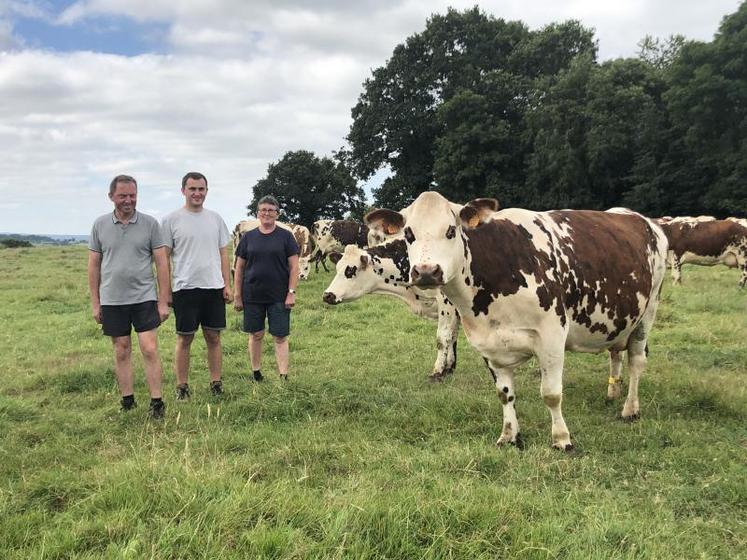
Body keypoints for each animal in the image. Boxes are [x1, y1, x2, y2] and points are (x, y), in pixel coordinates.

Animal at [322, 240, 462, 380]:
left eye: (350, 270)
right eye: (337, 268)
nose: (327, 295)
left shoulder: (446, 304)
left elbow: (442, 338)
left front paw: (437, 372)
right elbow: (452, 336)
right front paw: (449, 368)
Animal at [366, 192, 668, 450]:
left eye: (451, 231)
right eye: (409, 234)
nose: (427, 271)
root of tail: (642, 219)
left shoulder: (551, 336)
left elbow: (551, 393)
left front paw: (562, 439)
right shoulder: (488, 343)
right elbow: (505, 393)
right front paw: (509, 436)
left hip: (648, 312)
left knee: (636, 362)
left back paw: (629, 409)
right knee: (616, 353)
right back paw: (612, 393)